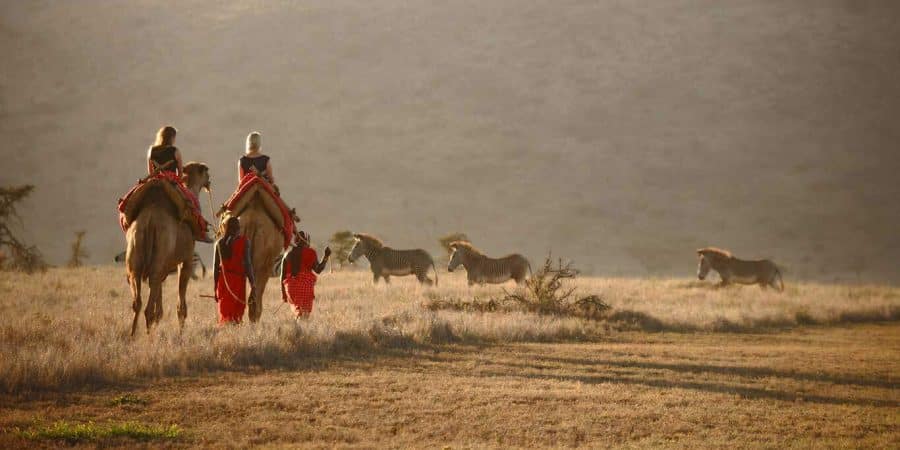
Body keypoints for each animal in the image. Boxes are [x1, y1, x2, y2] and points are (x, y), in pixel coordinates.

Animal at [124, 163, 210, 335]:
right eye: (206, 172)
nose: (209, 180)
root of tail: (150, 220)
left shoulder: (164, 268)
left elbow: (159, 303)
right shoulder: (186, 260)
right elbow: (181, 304)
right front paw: (181, 332)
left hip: (136, 253)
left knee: (138, 299)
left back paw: (133, 335)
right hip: (162, 251)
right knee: (148, 306)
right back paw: (149, 337)